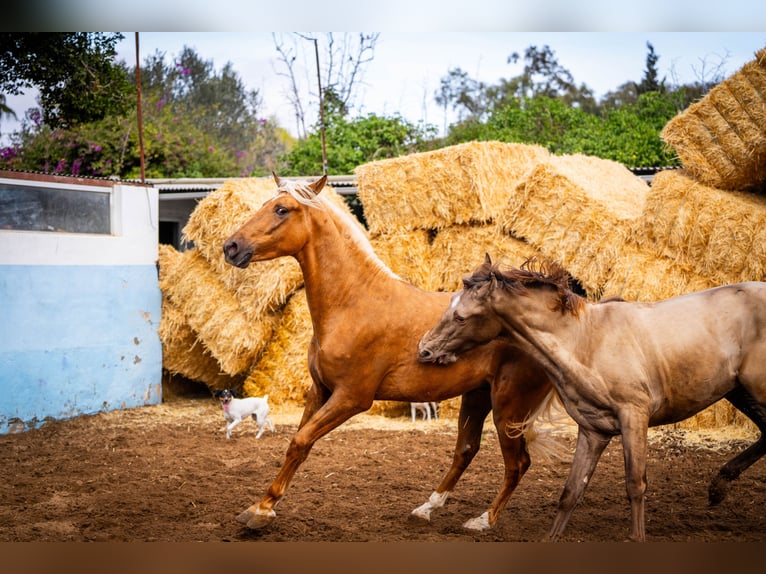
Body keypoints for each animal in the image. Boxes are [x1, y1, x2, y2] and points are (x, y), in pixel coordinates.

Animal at [221, 174, 556, 531]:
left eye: (282, 209)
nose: (231, 247)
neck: (354, 302)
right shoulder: (320, 390)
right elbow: (300, 442)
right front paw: (264, 504)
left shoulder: (351, 398)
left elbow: (300, 441)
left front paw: (261, 511)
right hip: (478, 396)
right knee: (466, 450)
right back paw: (426, 508)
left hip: (509, 407)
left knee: (518, 463)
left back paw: (483, 520)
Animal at [417, 254, 766, 542]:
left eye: (461, 316)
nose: (425, 349)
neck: (586, 340)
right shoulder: (593, 429)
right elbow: (571, 492)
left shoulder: (634, 416)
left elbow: (635, 484)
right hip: (740, 392)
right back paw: (718, 486)